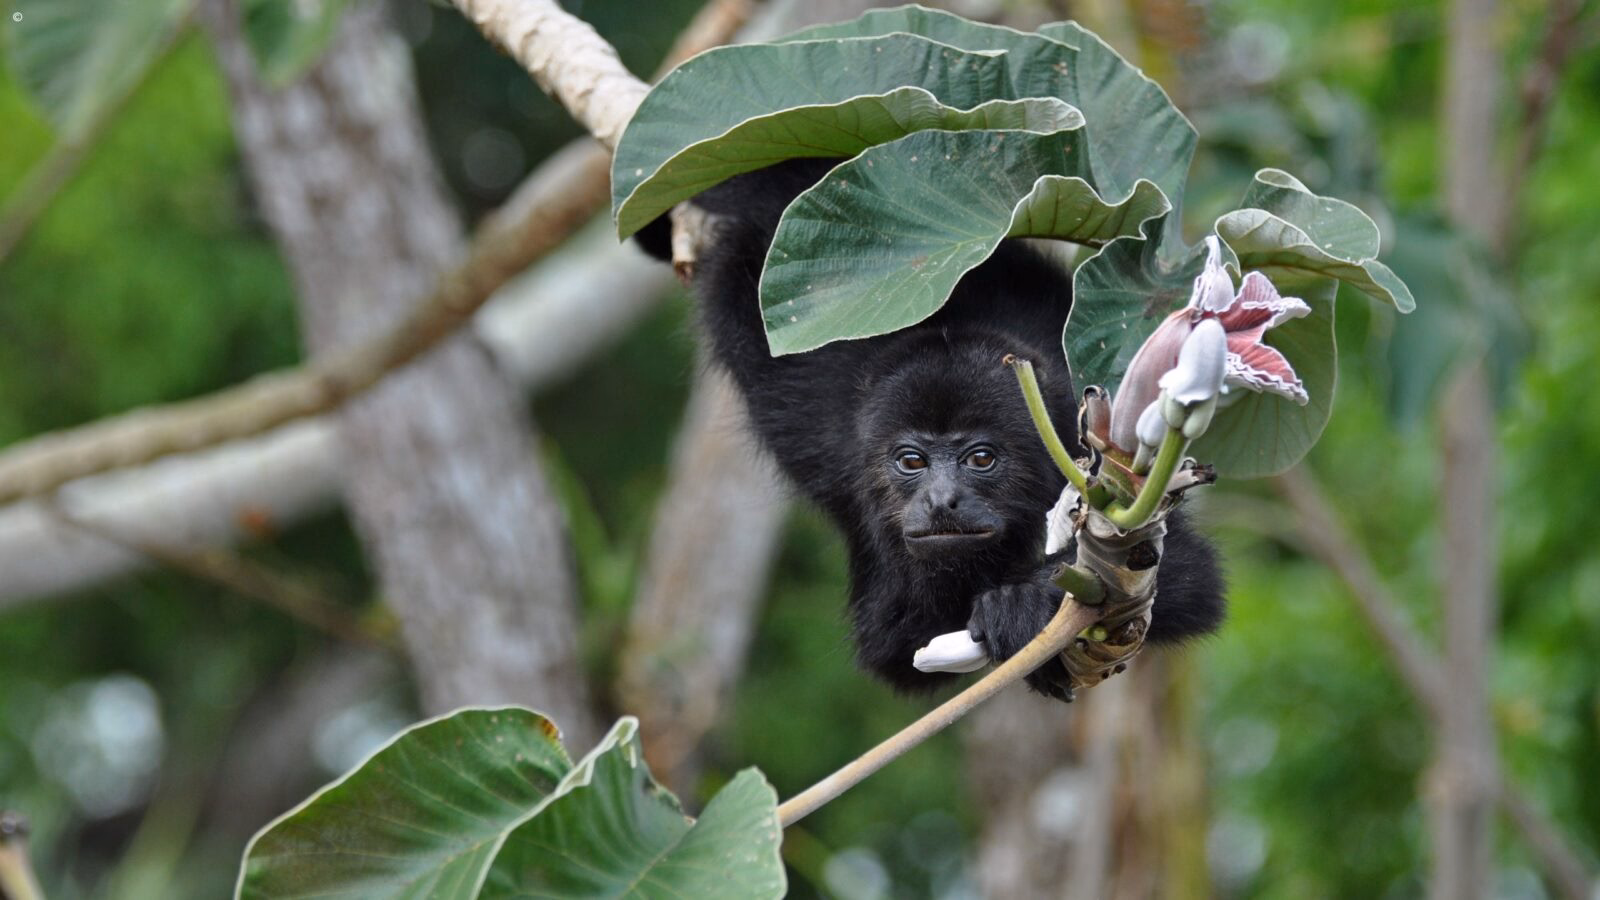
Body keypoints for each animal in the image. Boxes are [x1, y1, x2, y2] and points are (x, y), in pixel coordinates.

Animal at [635, 159, 1225, 701]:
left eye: (981, 459)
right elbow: (893, 647)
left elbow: (1187, 576)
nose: (942, 500)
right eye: (911, 461)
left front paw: (1027, 601)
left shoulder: (1094, 439)